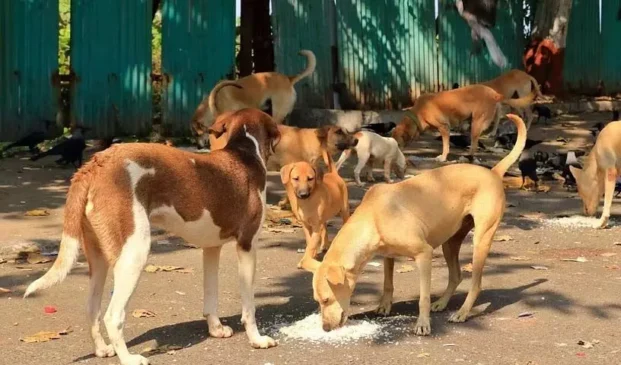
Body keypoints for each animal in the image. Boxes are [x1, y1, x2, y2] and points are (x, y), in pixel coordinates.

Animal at [24, 108, 280, 364]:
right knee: (112, 316)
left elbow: (211, 295)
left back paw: (102, 349)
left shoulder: (210, 248)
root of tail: (96, 164)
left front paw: (215, 329)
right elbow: (249, 306)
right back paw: (128, 358)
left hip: (99, 261)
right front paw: (257, 339)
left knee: (92, 309)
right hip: (134, 254)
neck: (244, 152)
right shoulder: (247, 245)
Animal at [308, 114, 524, 336]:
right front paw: (384, 306)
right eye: (318, 301)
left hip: (481, 240)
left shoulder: (424, 254)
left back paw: (462, 312)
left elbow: (423, 297)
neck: (373, 217)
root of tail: (493, 172)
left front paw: (422, 323)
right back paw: (442, 303)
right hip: (450, 242)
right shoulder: (388, 256)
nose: (325, 328)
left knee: (476, 283)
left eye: (326, 299)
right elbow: (387, 283)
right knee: (456, 276)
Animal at [392, 84, 532, 161]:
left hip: (476, 123)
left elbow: (445, 146)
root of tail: (494, 93)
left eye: (397, 144)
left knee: (474, 144)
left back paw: (468, 157)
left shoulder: (444, 127)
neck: (418, 112)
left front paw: (443, 158)